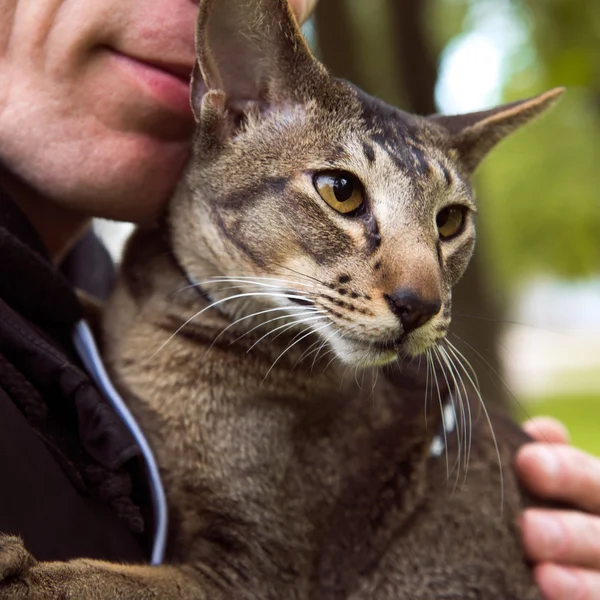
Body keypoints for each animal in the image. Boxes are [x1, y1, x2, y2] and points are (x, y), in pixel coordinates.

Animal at [0, 0, 564, 596]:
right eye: (341, 191)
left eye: (451, 220)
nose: (420, 304)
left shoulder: (256, 571)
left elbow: (100, 579)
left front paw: (21, 567)